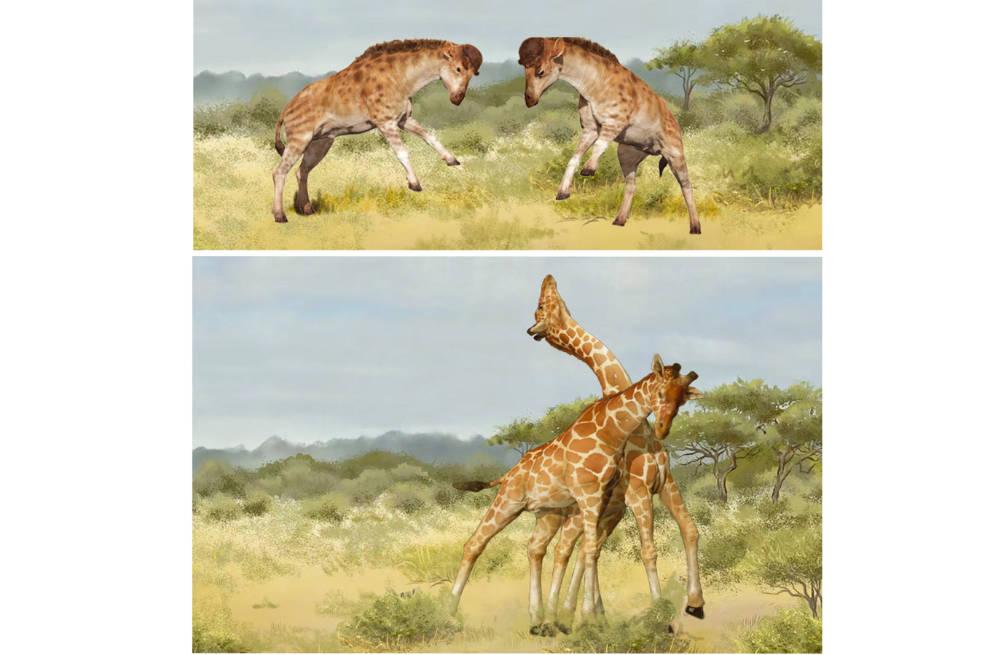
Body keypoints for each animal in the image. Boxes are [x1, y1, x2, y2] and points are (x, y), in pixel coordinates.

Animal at [270, 39, 483, 222]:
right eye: (458, 68)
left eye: (473, 73)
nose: (457, 98)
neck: (400, 77)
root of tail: (286, 110)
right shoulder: (386, 123)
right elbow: (402, 153)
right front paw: (414, 184)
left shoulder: (403, 120)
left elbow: (430, 136)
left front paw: (452, 160)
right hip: (300, 139)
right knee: (279, 172)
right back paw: (280, 216)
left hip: (320, 143)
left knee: (301, 171)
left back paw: (307, 209)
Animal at [446, 353, 702, 633]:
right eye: (660, 392)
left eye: (683, 399)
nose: (663, 429)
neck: (611, 433)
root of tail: (509, 473)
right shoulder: (602, 494)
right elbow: (597, 549)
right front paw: (595, 616)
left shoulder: (610, 496)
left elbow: (592, 549)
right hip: (508, 502)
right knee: (475, 543)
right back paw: (449, 613)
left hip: (550, 514)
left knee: (536, 548)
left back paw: (538, 619)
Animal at [518, 37, 701, 234]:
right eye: (524, 69)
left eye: (540, 71)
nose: (529, 99)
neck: (593, 85)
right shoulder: (590, 129)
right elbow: (574, 158)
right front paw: (562, 192)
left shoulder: (614, 122)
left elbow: (600, 145)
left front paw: (588, 169)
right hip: (627, 155)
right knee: (632, 184)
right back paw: (619, 220)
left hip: (675, 154)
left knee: (686, 185)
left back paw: (695, 227)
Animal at [527, 274, 706, 630]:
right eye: (540, 305)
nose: (549, 279)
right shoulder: (637, 492)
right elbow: (648, 550)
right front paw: (659, 612)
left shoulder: (663, 484)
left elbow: (690, 530)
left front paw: (695, 604)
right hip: (581, 512)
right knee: (560, 548)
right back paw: (557, 615)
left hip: (602, 512)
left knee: (576, 549)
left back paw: (574, 614)